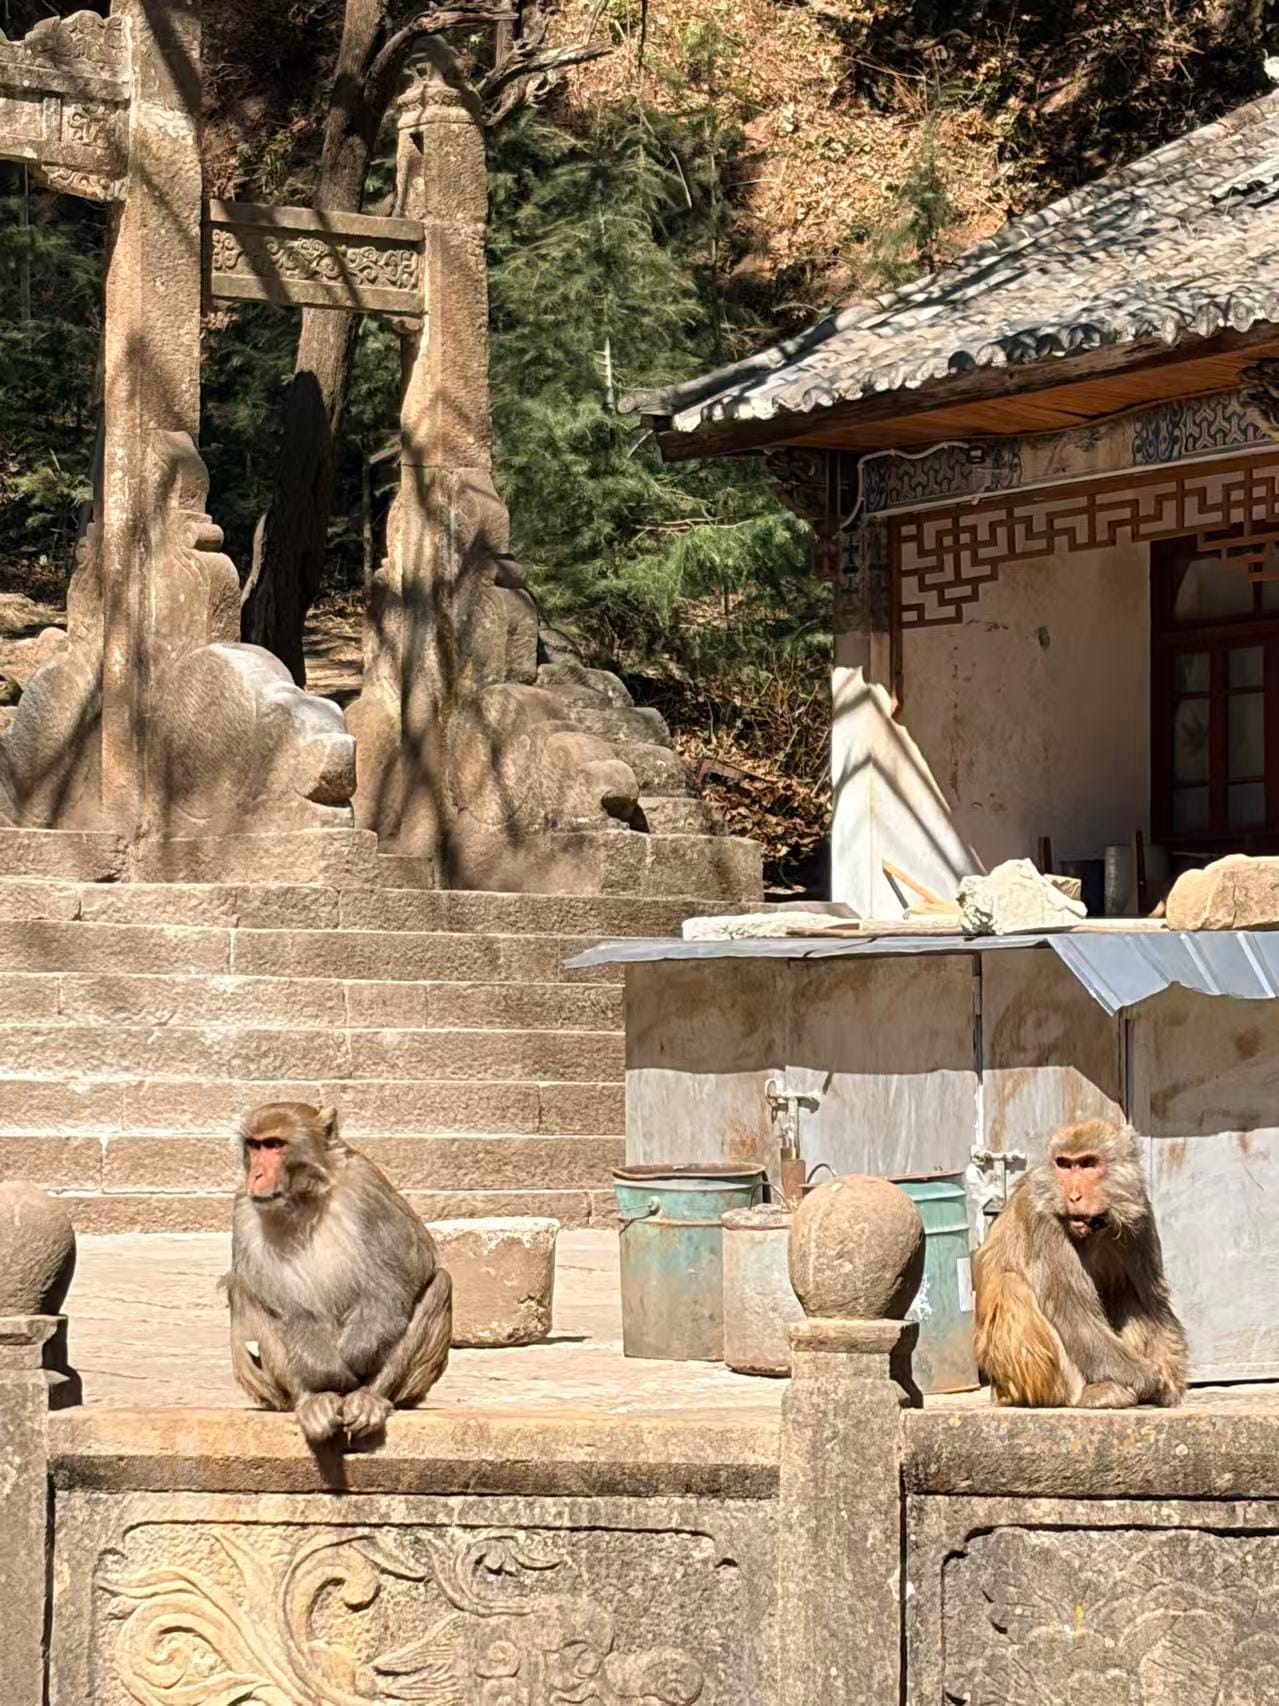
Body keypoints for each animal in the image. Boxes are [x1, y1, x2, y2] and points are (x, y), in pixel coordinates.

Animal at [224, 1102, 452, 1446]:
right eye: (254, 1145)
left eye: (275, 1144)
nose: (256, 1174)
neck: (304, 1197)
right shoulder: (244, 1208)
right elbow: (282, 1302)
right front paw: (327, 1369)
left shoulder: (366, 1183)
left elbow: (410, 1267)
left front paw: (357, 1352)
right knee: (244, 1293)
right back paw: (312, 1400)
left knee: (440, 1284)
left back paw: (369, 1396)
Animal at [973, 1119, 1187, 1410]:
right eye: (1064, 1164)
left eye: (1088, 1164)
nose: (1073, 1196)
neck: (1095, 1228)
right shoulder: (1043, 1221)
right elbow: (1072, 1315)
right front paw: (1149, 1378)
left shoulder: (1140, 1215)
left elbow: (1152, 1303)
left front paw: (1170, 1384)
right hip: (1013, 1385)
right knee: (1011, 1285)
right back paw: (1083, 1395)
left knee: (1127, 1293)